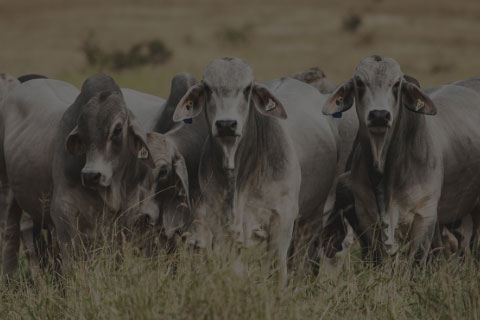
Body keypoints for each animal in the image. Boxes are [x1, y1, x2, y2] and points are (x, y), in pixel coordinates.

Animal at [0, 74, 156, 278]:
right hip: (6, 191)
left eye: (117, 130)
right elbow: (73, 261)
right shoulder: (63, 212)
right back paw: (8, 279)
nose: (91, 176)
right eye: (81, 133)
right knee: (9, 236)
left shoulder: (125, 216)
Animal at [171, 58, 344, 282]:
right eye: (208, 88)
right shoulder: (220, 223)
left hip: (312, 217)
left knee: (302, 259)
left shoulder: (283, 219)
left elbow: (278, 269)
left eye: (247, 89)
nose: (226, 124)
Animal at [320, 55, 480, 264]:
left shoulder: (425, 216)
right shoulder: (366, 217)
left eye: (397, 84)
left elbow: (416, 261)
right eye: (360, 83)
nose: (379, 115)